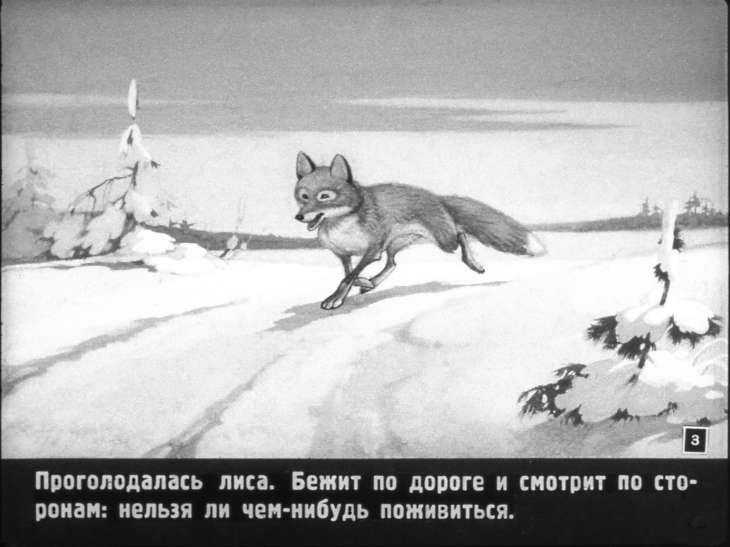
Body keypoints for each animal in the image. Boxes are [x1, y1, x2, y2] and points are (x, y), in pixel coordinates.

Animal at [294, 152, 545, 310]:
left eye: (324, 196)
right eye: (303, 196)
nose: (299, 217)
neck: (341, 224)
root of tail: (437, 197)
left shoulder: (373, 249)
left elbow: (347, 278)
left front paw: (336, 298)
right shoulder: (344, 254)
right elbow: (348, 275)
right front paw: (352, 288)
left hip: (442, 240)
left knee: (461, 235)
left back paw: (474, 263)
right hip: (395, 245)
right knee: (392, 264)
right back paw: (369, 284)